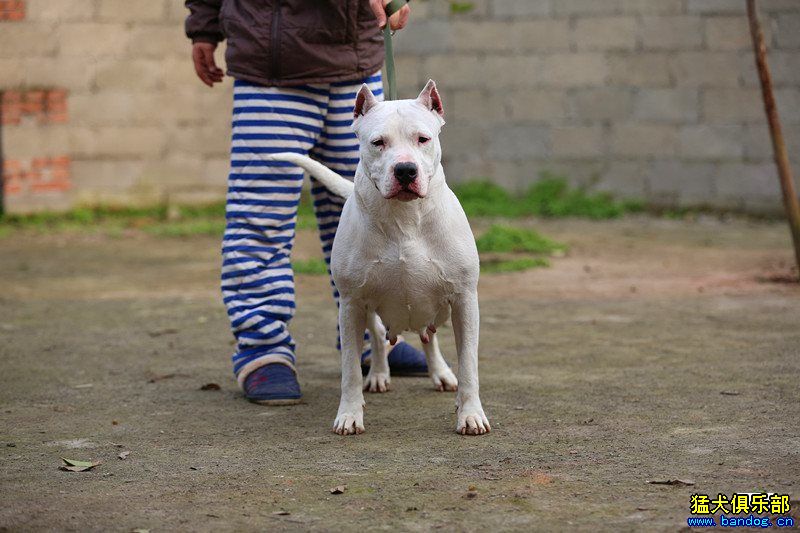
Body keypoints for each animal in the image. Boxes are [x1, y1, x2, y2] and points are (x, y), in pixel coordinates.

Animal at [264, 80, 488, 436]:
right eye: (378, 142)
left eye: (423, 139)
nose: (406, 170)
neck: (405, 218)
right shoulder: (352, 304)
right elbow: (350, 370)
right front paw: (349, 414)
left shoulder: (464, 299)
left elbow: (469, 366)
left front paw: (470, 414)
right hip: (369, 308)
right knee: (381, 338)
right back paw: (380, 375)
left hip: (438, 306)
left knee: (429, 337)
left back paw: (440, 373)